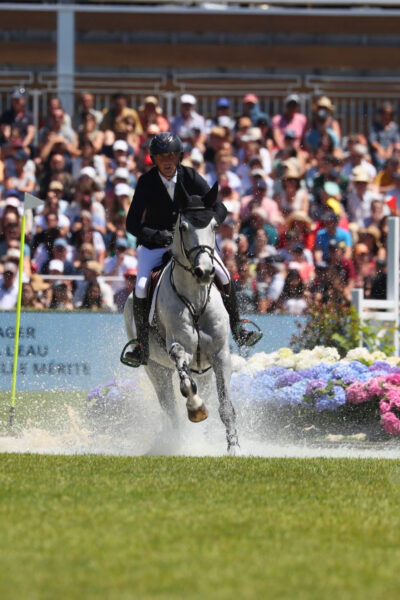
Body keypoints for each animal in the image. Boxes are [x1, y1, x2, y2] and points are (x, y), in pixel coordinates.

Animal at [123, 188, 239, 454]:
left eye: (214, 226)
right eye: (183, 227)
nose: (204, 272)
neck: (196, 297)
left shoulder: (220, 356)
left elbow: (226, 407)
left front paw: (234, 449)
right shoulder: (180, 348)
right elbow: (185, 382)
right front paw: (196, 408)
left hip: (205, 371)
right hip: (156, 370)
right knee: (171, 410)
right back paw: (179, 444)